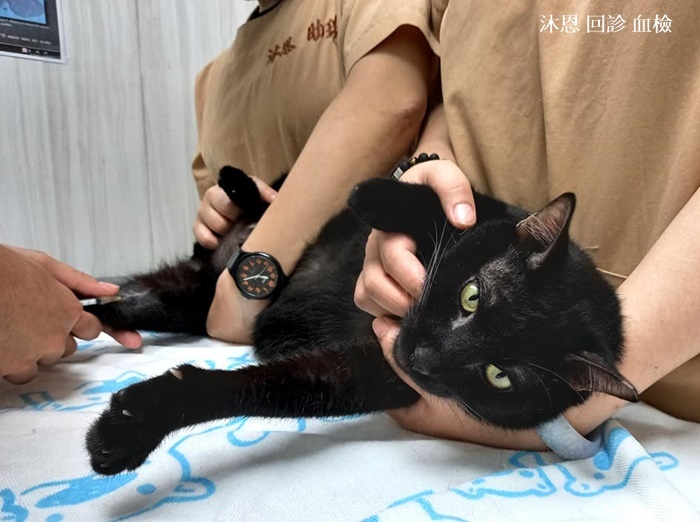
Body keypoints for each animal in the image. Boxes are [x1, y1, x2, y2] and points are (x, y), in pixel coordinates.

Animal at [85, 167, 639, 475]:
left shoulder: (363, 376)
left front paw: (132, 427)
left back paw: (91, 318)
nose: (422, 357)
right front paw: (373, 195)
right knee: (266, 197)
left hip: (186, 299)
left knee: (126, 301)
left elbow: (252, 389)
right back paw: (238, 185)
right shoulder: (479, 211)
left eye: (499, 376)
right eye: (472, 296)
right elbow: (448, 204)